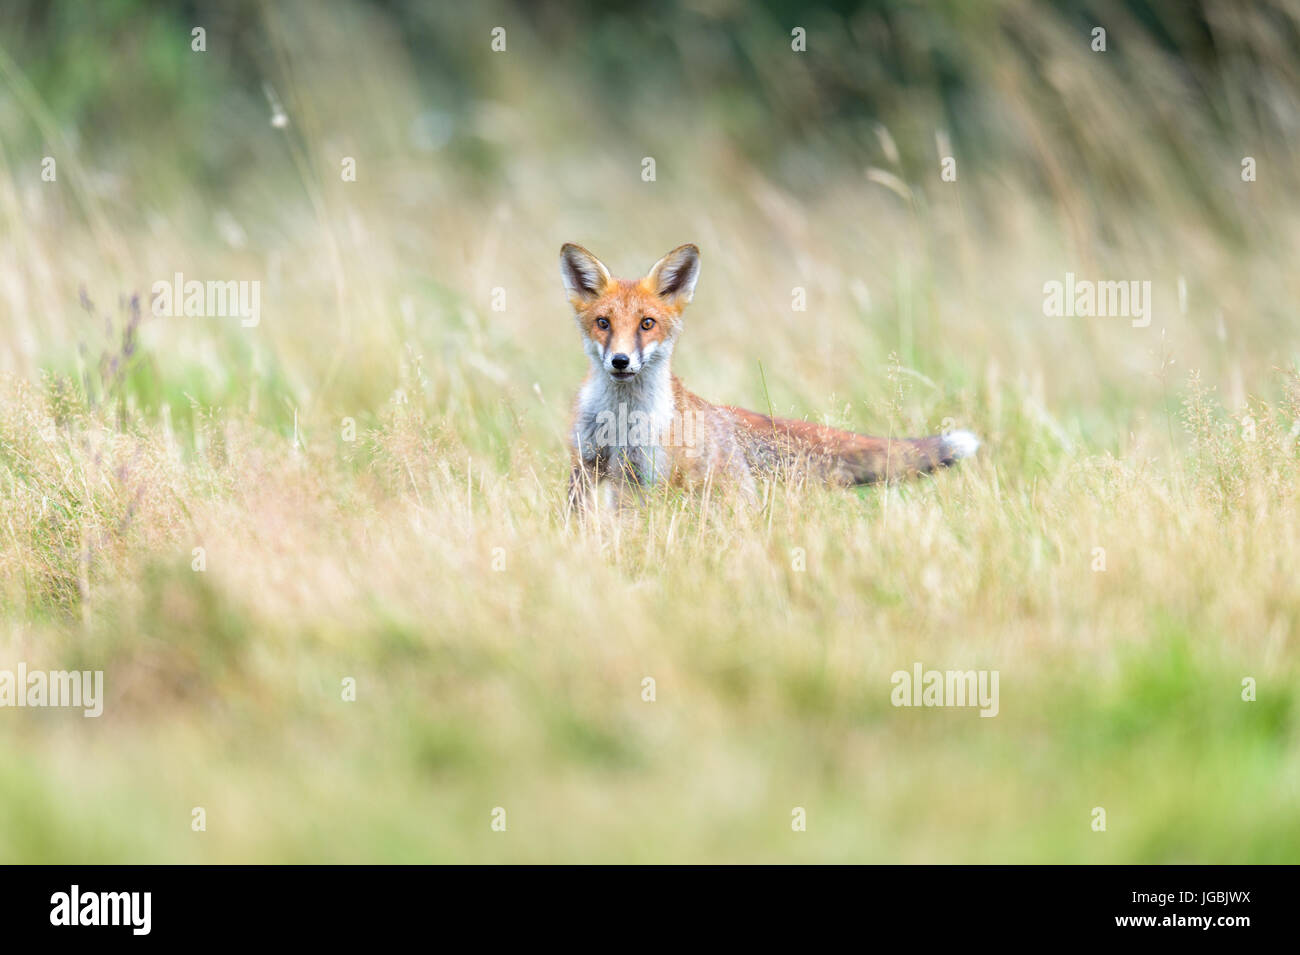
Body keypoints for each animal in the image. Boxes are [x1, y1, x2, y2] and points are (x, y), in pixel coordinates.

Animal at [559, 246, 977, 511]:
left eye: (647, 324)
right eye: (603, 323)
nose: (620, 361)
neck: (620, 418)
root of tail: (721, 412)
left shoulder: (640, 475)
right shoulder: (587, 465)